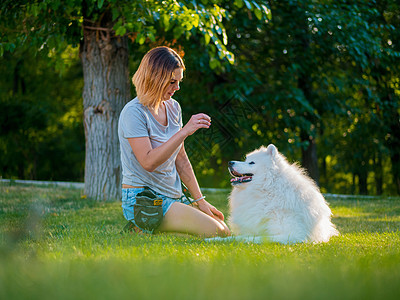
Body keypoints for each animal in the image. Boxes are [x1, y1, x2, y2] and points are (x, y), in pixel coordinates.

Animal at [209, 144, 338, 245]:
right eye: (246, 160)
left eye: (251, 162)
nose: (230, 162)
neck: (269, 189)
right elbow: (236, 237)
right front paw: (213, 239)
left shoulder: (292, 234)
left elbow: (250, 238)